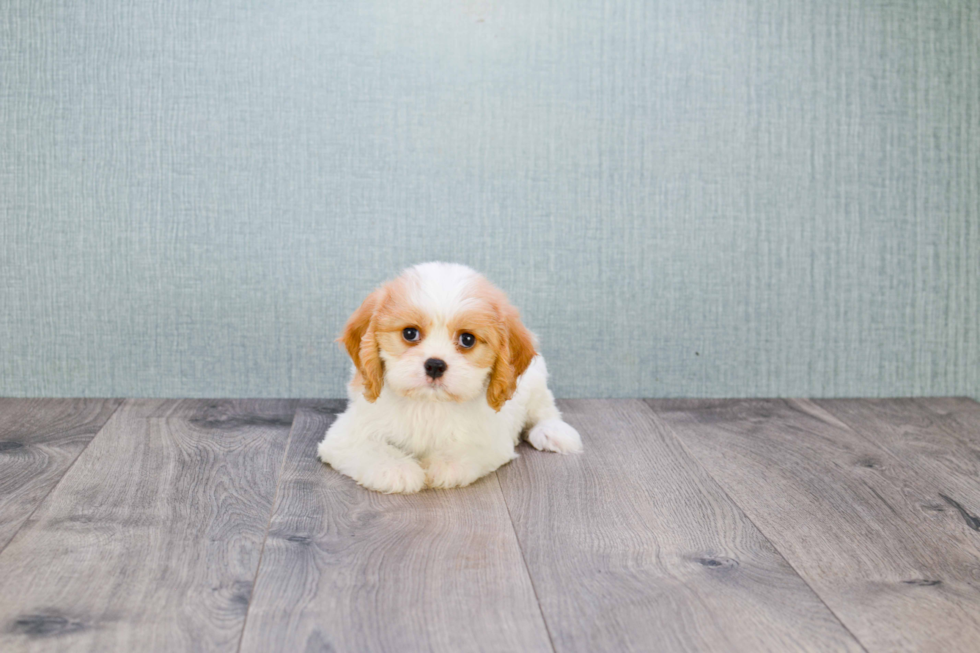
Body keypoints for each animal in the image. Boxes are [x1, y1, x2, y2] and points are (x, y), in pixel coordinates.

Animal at [320, 262, 580, 492]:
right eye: (410, 333)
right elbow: (370, 448)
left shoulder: (491, 439)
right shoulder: (347, 433)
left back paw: (553, 432)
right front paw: (397, 470)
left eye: (467, 339)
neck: (428, 404)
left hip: (536, 383)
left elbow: (465, 450)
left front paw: (443, 465)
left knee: (545, 410)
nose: (435, 365)